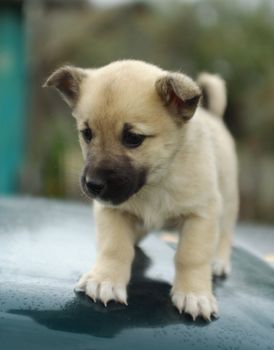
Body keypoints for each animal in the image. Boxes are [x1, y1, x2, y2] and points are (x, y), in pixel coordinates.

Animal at [44, 60, 238, 320]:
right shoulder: (112, 210)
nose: (93, 185)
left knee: (225, 234)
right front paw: (105, 280)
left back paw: (219, 262)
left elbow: (191, 256)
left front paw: (194, 294)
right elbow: (114, 248)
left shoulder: (201, 215)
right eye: (87, 134)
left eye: (133, 138)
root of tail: (213, 115)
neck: (154, 183)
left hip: (228, 202)